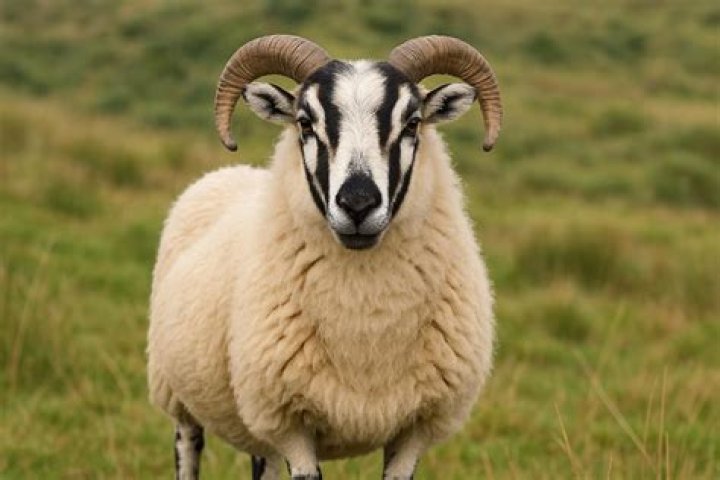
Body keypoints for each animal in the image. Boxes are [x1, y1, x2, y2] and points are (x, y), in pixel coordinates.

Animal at [147, 34, 503, 480]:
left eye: (412, 123)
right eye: (304, 122)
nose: (358, 203)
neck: (367, 320)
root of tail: (230, 171)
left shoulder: (417, 427)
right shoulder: (290, 424)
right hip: (178, 395)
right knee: (187, 448)